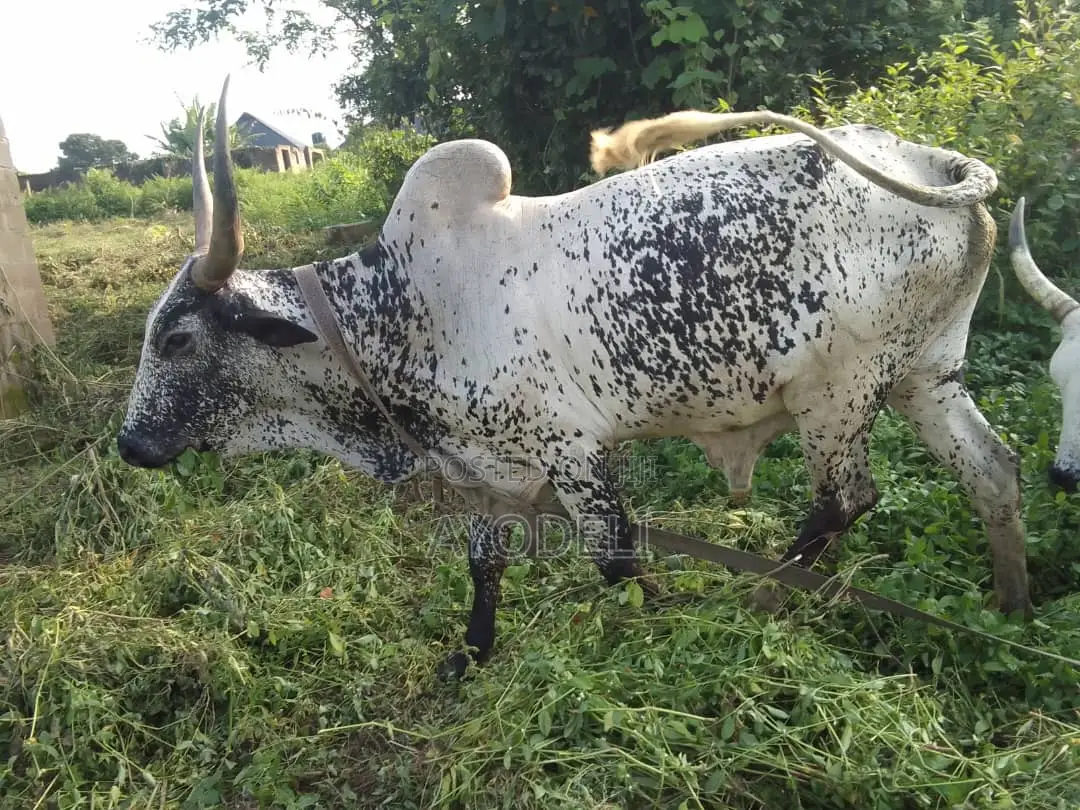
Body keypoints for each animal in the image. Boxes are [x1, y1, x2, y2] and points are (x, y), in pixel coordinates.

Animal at [116, 77, 1032, 679]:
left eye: (180, 339)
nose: (130, 444)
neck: (403, 305)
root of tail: (929, 159)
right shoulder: (488, 472)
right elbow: (484, 565)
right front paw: (470, 655)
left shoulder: (573, 450)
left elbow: (616, 558)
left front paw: (665, 626)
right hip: (925, 376)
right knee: (992, 471)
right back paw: (1013, 608)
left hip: (836, 393)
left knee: (847, 499)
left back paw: (763, 599)